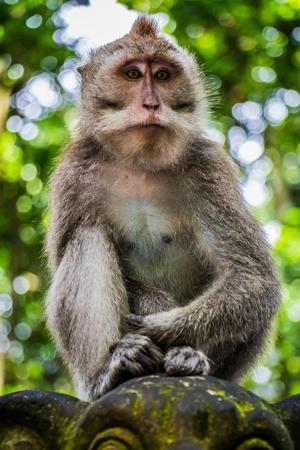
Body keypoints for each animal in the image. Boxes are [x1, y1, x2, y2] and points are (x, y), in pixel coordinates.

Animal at [45, 15, 282, 400]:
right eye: (132, 74)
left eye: (162, 76)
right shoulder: (73, 178)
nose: (152, 104)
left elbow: (252, 277)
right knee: (87, 236)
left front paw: (163, 328)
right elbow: (65, 257)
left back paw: (189, 357)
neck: (142, 162)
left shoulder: (209, 169)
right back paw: (108, 374)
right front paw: (156, 310)